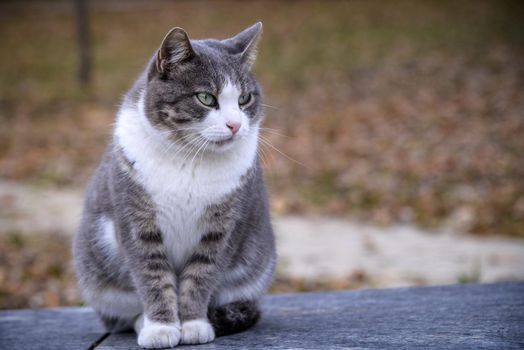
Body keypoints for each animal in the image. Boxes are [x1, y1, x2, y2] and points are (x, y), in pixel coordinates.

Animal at [74, 23, 278, 348]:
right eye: (206, 98)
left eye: (245, 99)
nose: (235, 125)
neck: (190, 158)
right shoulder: (137, 224)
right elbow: (152, 276)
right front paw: (161, 328)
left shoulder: (222, 230)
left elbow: (201, 276)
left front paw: (194, 324)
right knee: (119, 317)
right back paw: (142, 322)